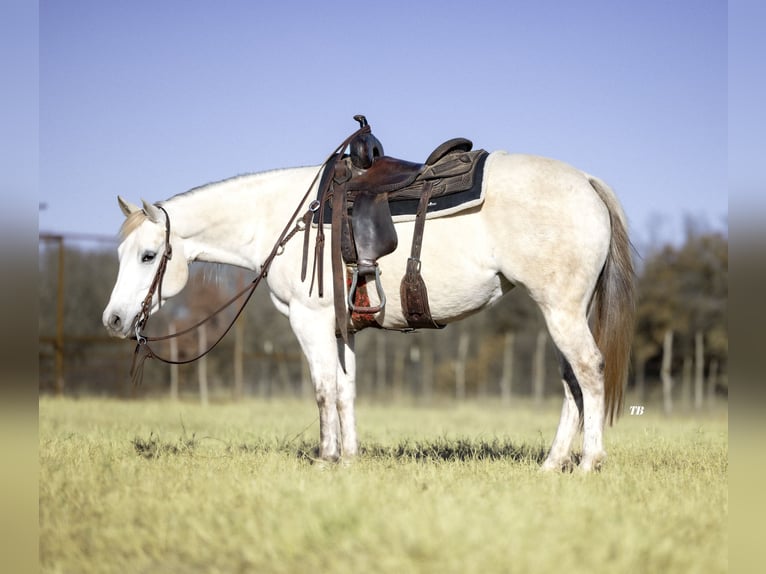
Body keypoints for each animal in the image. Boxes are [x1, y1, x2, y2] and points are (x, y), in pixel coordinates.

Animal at [103, 148, 640, 472]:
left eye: (148, 256)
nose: (113, 320)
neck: (283, 219)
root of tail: (586, 181)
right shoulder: (343, 329)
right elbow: (346, 390)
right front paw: (350, 458)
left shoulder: (310, 320)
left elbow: (323, 390)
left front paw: (325, 458)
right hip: (561, 311)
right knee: (571, 383)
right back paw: (551, 465)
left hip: (561, 310)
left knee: (589, 371)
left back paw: (589, 462)